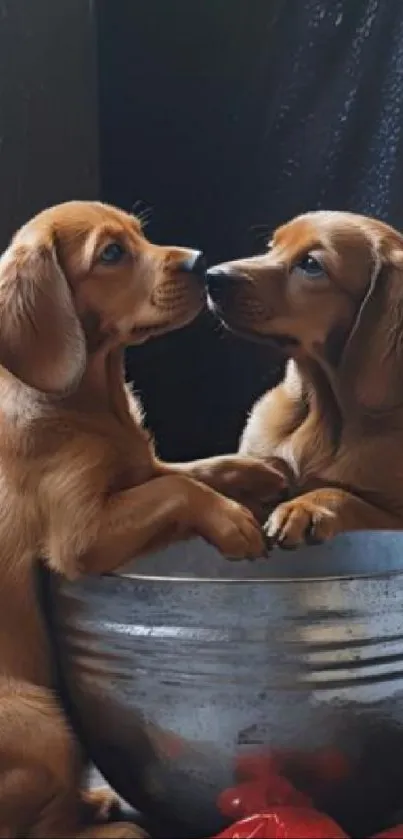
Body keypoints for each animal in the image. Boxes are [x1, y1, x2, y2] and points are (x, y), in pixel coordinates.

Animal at [0, 203, 288, 839]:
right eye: (112, 253)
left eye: (141, 232)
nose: (202, 263)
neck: (91, 399)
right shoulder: (80, 534)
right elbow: (177, 487)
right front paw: (233, 522)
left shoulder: (139, 466)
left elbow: (188, 469)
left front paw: (257, 472)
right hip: (46, 723)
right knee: (31, 827)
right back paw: (110, 824)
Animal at [207, 210, 403, 548]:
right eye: (272, 246)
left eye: (311, 264)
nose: (211, 277)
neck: (323, 409)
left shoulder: (394, 517)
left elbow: (347, 496)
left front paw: (304, 507)